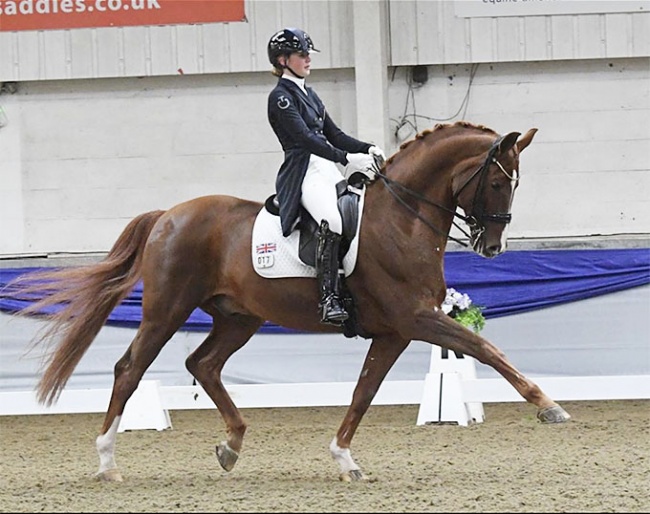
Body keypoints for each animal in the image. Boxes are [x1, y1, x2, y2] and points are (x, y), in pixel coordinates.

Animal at [8, 122, 568, 482]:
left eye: (515, 183)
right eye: (496, 181)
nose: (491, 247)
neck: (402, 220)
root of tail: (167, 215)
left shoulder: (395, 331)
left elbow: (364, 392)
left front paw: (345, 459)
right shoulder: (417, 319)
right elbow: (484, 349)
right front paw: (548, 406)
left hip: (239, 318)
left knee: (203, 364)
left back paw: (231, 445)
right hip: (167, 311)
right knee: (130, 369)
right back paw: (107, 461)